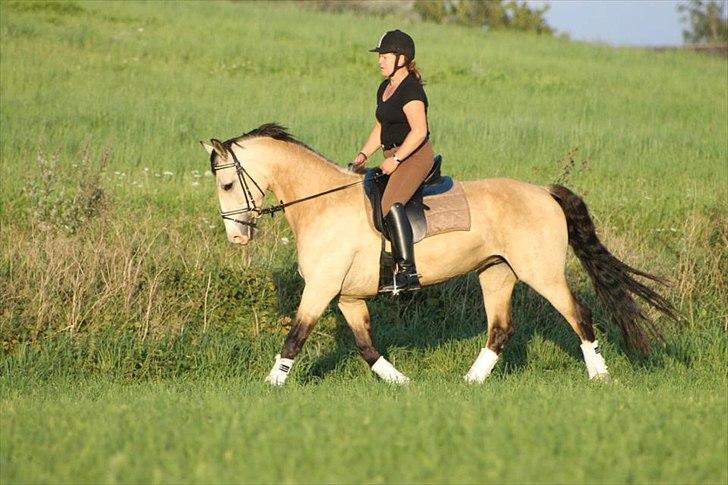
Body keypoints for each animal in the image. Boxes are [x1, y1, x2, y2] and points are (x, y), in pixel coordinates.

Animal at [200, 123, 676, 384]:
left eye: (227, 183)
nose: (237, 238)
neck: (322, 202)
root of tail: (544, 192)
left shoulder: (321, 288)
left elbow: (295, 337)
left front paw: (269, 386)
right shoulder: (349, 297)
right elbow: (367, 347)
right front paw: (403, 383)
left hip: (541, 272)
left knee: (580, 315)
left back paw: (600, 376)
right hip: (496, 273)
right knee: (500, 329)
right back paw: (468, 382)